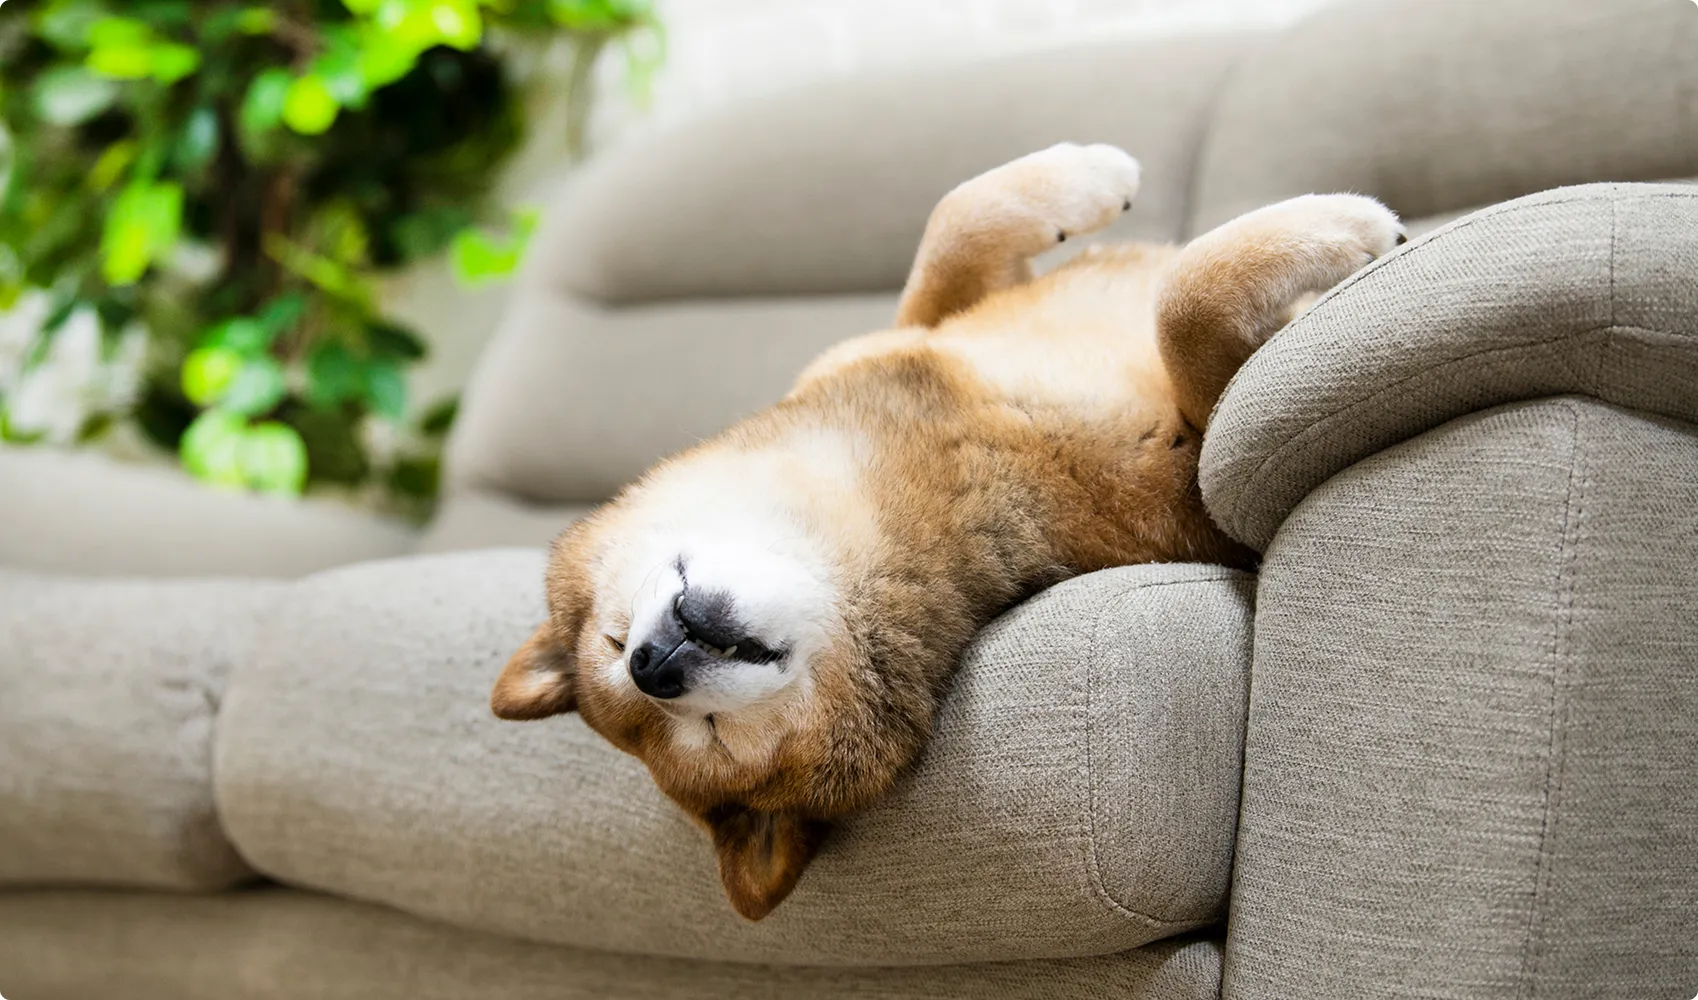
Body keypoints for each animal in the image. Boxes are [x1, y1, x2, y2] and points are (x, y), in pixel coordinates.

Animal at [490, 143, 1404, 920]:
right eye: (706, 738)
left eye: (612, 645)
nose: (654, 667)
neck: (948, 447)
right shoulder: (1191, 493)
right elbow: (1187, 304)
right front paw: (1346, 232)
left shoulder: (916, 331)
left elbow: (957, 223)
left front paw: (1091, 175)